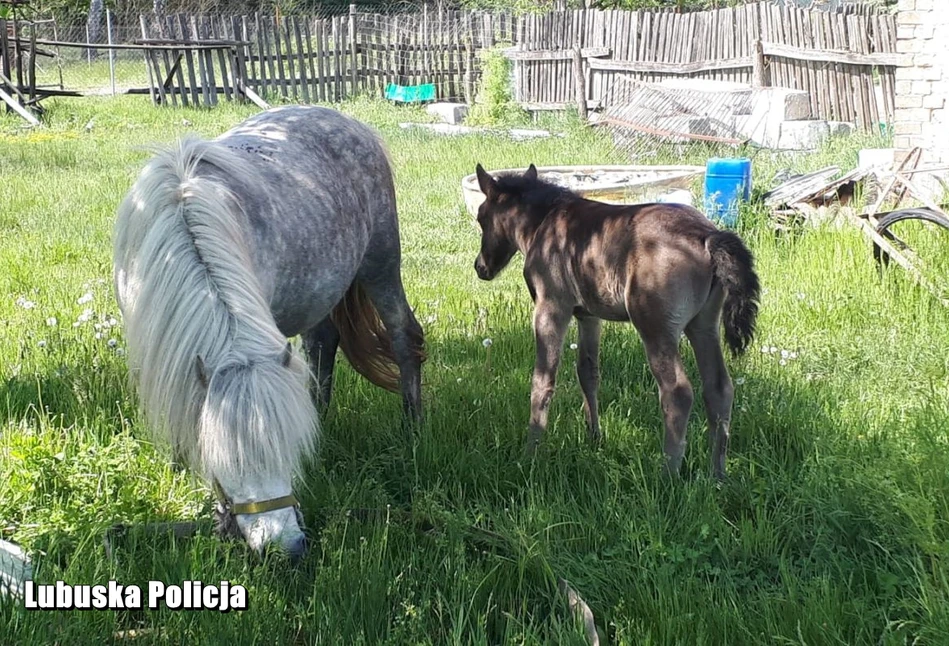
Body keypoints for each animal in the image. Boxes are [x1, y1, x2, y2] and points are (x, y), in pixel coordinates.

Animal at [114, 106, 422, 560]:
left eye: (288, 452)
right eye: (224, 462)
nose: (287, 548)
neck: (183, 213)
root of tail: (349, 122)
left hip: (380, 266)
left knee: (404, 336)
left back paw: (413, 427)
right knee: (321, 346)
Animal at [474, 165, 764, 480]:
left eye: (481, 217)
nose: (481, 267)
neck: (542, 223)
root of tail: (708, 235)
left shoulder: (551, 307)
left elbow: (543, 378)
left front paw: (531, 452)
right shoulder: (588, 315)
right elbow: (588, 373)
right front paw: (594, 438)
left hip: (655, 326)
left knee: (677, 391)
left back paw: (668, 474)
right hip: (703, 325)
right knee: (719, 388)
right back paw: (717, 475)